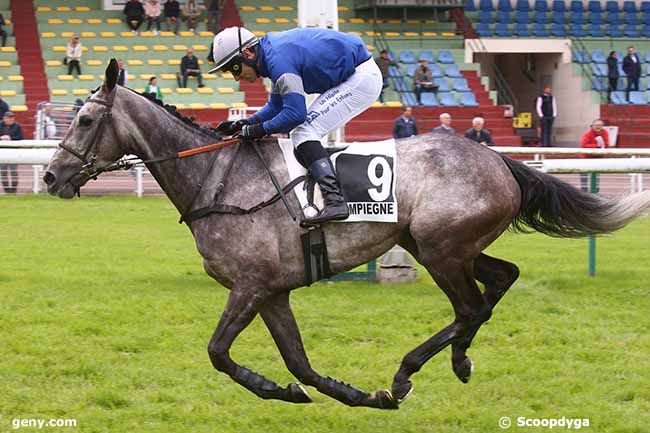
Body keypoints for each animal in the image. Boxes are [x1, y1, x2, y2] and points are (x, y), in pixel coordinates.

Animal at [44, 60, 648, 408]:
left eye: (86, 120)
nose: (50, 176)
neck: (216, 176)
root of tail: (498, 159)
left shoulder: (251, 285)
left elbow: (217, 351)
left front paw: (284, 391)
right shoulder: (272, 291)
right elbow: (299, 362)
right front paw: (346, 394)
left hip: (441, 248)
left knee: (472, 306)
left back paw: (410, 372)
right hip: (436, 244)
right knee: (499, 283)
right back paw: (457, 362)